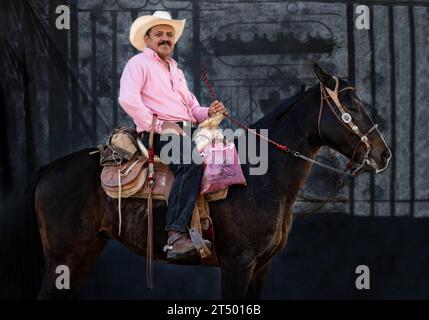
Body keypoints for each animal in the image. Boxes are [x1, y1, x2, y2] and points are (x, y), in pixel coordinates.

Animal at [0, 65, 390, 300]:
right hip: (62, 259)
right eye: (350, 106)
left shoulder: (261, 267)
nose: (383, 154)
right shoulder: (237, 264)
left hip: (85, 254)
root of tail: (48, 169)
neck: (260, 180)